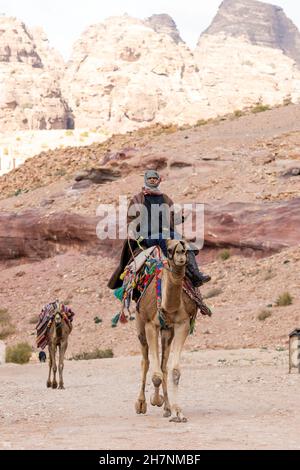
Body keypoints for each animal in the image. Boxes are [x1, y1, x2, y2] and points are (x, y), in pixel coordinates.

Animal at [135, 239, 197, 422]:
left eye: (186, 248)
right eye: (169, 249)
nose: (181, 253)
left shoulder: (182, 324)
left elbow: (174, 371)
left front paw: (177, 412)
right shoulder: (151, 325)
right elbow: (155, 376)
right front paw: (155, 400)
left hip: (167, 331)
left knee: (163, 366)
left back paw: (168, 408)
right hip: (140, 323)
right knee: (145, 361)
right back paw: (141, 404)